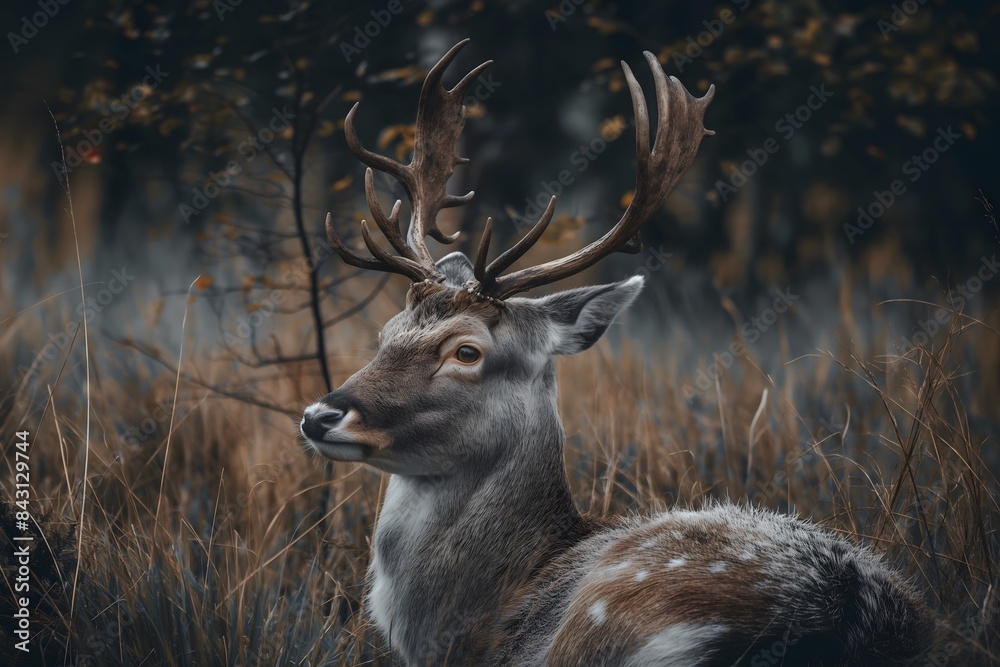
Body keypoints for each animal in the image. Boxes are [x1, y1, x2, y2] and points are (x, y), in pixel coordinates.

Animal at [300, 40, 933, 666]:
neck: (469, 628)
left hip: (606, 614)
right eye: (386, 332)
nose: (319, 415)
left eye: (466, 352)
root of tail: (831, 622)